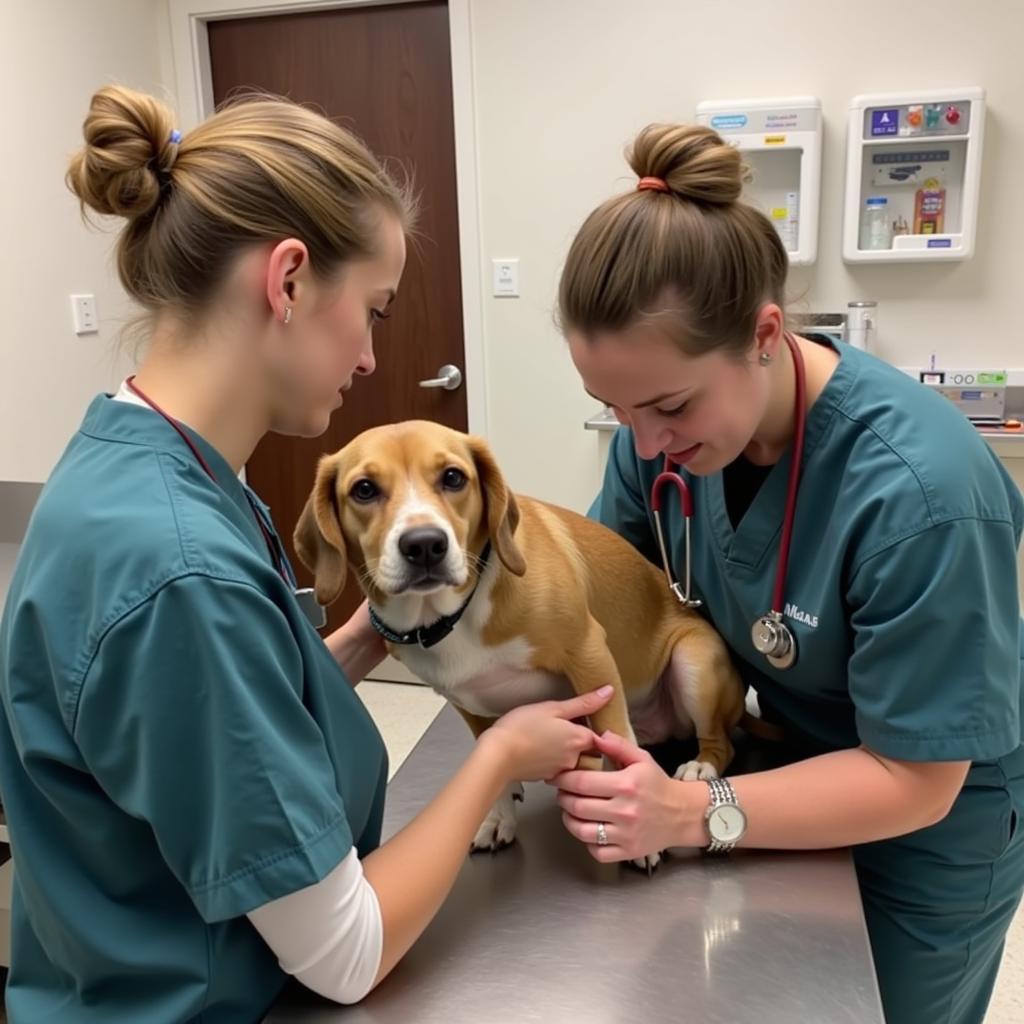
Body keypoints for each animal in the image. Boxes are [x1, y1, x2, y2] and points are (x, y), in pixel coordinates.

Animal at [294, 419, 753, 860]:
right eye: (364, 489)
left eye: (453, 478)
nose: (424, 545)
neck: (451, 616)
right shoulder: (468, 705)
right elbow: (492, 762)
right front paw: (500, 817)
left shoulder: (590, 655)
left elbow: (617, 735)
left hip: (694, 663)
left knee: (719, 742)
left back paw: (700, 767)